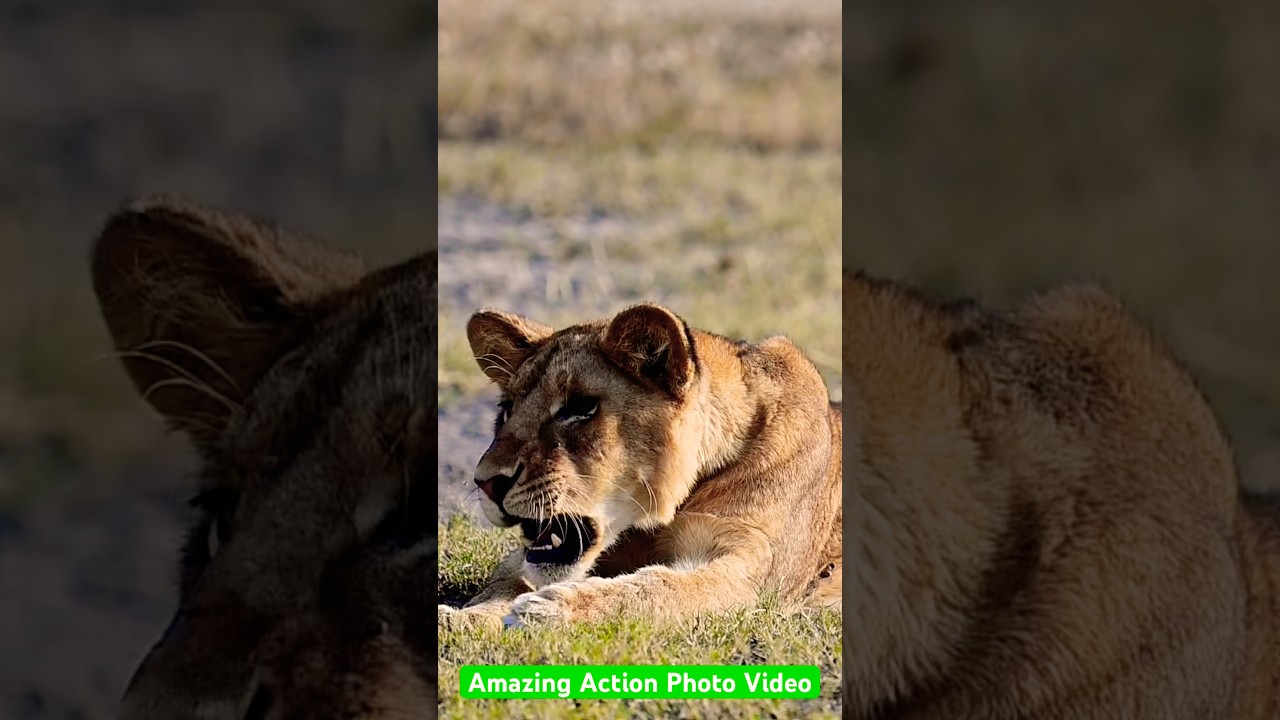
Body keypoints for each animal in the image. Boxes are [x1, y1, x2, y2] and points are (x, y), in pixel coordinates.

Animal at [437, 303, 843, 630]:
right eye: (506, 410)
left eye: (579, 408)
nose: (485, 483)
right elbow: (506, 580)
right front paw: (462, 619)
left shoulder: (751, 570)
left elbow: (660, 589)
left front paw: (548, 610)